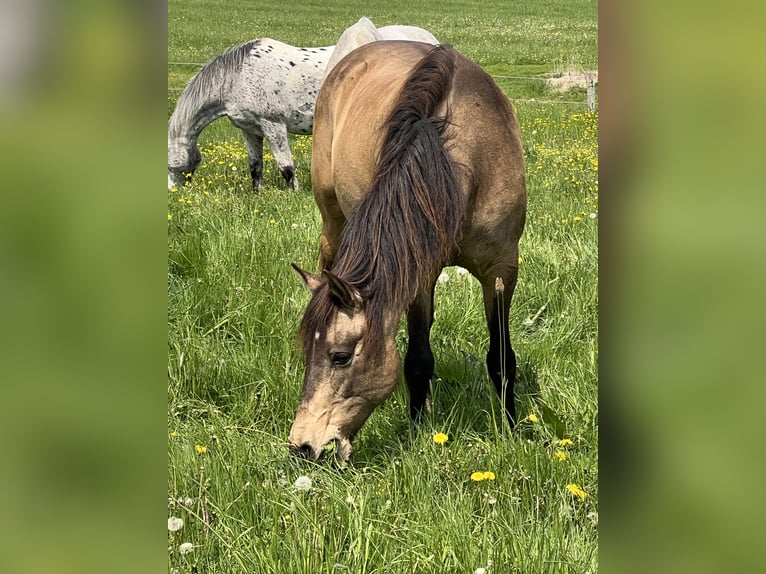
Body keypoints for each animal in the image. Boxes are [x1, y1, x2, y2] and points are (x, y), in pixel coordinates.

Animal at [168, 38, 333, 191]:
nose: (172, 192)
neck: (238, 78)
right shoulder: (250, 130)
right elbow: (255, 167)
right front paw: (258, 193)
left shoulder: (274, 125)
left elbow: (286, 168)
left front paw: (293, 194)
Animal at [289, 42, 527, 461]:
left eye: (340, 356)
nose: (301, 444)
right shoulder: (419, 274)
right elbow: (417, 359)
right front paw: (417, 431)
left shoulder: (502, 270)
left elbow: (501, 358)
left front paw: (511, 429)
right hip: (332, 219)